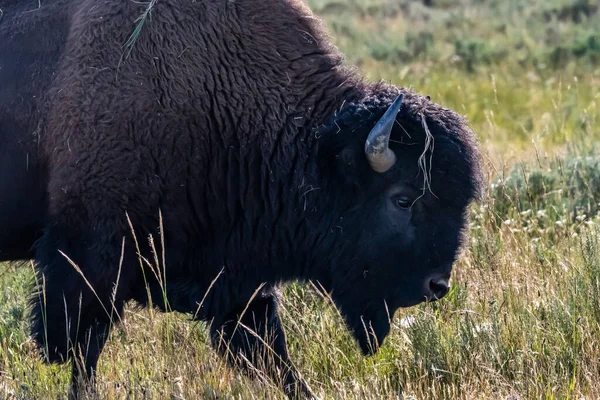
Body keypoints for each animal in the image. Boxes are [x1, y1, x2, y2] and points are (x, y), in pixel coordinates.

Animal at [0, 0, 482, 396]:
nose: (438, 286)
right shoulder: (87, 264)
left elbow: (275, 361)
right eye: (403, 199)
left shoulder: (239, 287)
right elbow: (79, 356)